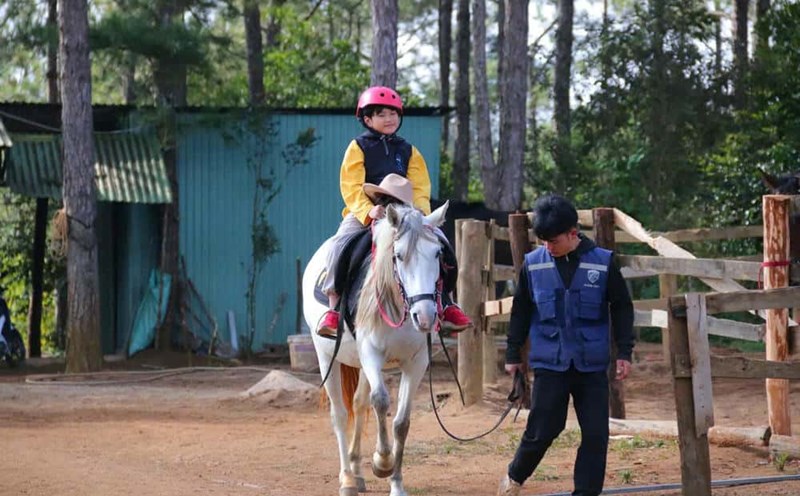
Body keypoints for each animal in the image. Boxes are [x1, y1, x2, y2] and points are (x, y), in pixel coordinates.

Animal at [302, 201, 449, 496]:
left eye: (438, 253)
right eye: (399, 255)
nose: (425, 316)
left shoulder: (416, 362)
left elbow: (401, 422)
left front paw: (396, 483)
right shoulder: (371, 353)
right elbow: (380, 400)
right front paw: (382, 462)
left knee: (358, 405)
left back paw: (357, 472)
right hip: (327, 357)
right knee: (340, 414)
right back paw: (347, 479)